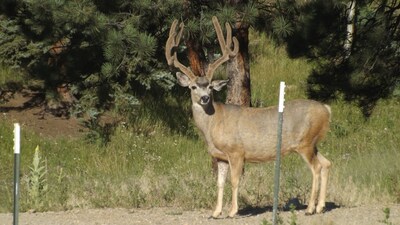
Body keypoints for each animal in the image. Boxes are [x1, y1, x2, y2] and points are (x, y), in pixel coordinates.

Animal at [164, 16, 332, 219]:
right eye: (193, 87)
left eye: (210, 87)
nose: (205, 98)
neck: (213, 124)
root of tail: (326, 109)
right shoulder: (220, 156)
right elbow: (220, 183)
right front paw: (215, 212)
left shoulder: (236, 151)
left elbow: (235, 181)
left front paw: (232, 211)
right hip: (313, 143)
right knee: (327, 163)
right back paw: (320, 206)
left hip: (305, 143)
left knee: (316, 168)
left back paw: (309, 209)